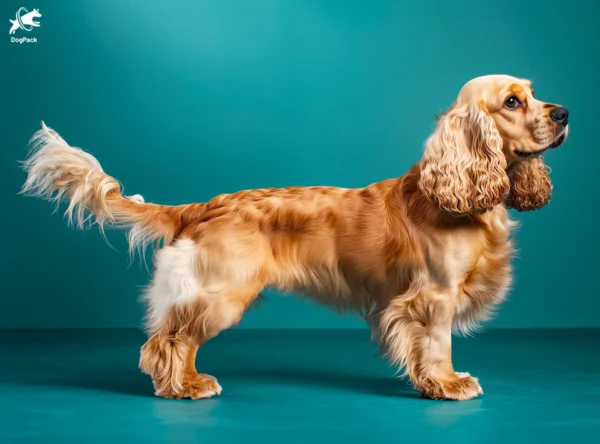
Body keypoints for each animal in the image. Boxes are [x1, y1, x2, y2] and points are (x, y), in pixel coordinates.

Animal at [22, 74, 568, 400]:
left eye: (535, 92)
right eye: (512, 101)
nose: (563, 113)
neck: (459, 191)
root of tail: (203, 206)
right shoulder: (432, 296)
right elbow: (437, 344)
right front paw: (448, 382)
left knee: (175, 338)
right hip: (220, 293)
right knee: (170, 340)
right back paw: (184, 387)